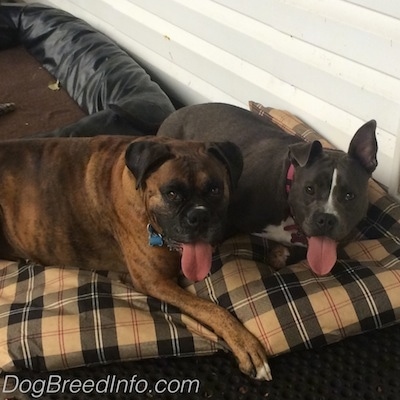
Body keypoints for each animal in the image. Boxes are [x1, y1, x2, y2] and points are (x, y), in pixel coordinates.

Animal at [0, 135, 272, 382]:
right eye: (172, 194)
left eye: (215, 189)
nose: (199, 216)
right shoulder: (154, 281)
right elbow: (212, 309)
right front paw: (246, 345)